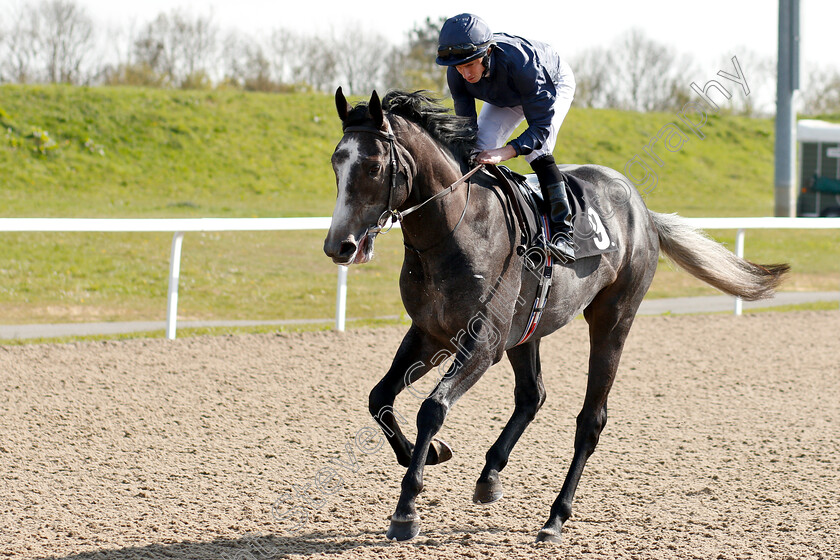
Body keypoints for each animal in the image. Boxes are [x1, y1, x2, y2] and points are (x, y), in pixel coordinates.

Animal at [324, 89, 788, 544]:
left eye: (373, 166)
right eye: (336, 162)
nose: (339, 246)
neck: (457, 228)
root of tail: (643, 209)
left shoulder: (482, 344)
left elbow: (432, 409)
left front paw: (406, 508)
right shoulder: (430, 334)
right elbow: (380, 397)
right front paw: (428, 456)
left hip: (614, 318)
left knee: (590, 420)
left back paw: (555, 517)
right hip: (527, 330)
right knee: (532, 395)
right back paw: (490, 476)